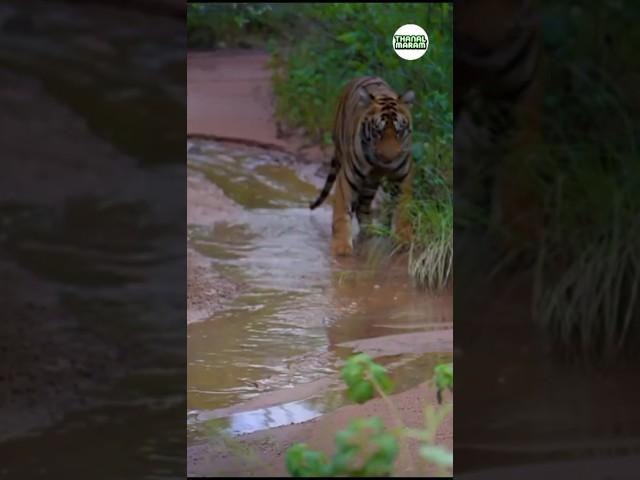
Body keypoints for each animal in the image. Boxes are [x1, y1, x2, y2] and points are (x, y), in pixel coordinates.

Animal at [308, 76, 416, 255]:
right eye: (378, 132)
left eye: (399, 131)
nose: (389, 157)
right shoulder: (348, 177)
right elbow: (342, 212)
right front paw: (341, 248)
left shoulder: (403, 176)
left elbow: (404, 209)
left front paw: (405, 240)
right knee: (360, 206)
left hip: (370, 182)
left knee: (363, 205)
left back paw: (371, 232)